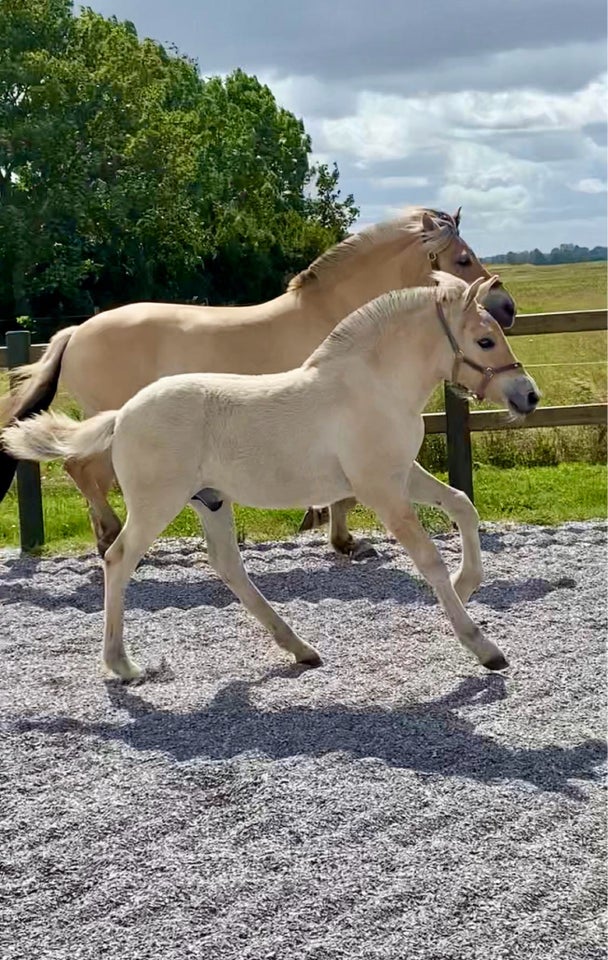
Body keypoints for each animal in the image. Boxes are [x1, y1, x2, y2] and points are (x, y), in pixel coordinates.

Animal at [0, 206, 516, 560]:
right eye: (462, 259)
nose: (507, 308)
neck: (335, 316)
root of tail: (74, 332)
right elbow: (345, 492)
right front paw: (340, 537)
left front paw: (332, 531)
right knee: (81, 470)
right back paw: (109, 537)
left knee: (83, 473)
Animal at [3, 274, 536, 684]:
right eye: (485, 341)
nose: (528, 395)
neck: (372, 386)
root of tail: (123, 414)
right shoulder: (380, 489)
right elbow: (428, 558)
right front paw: (483, 647)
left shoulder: (401, 475)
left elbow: (462, 503)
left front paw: (468, 582)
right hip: (157, 505)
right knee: (118, 560)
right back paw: (123, 666)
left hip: (211, 501)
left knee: (228, 567)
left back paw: (300, 649)